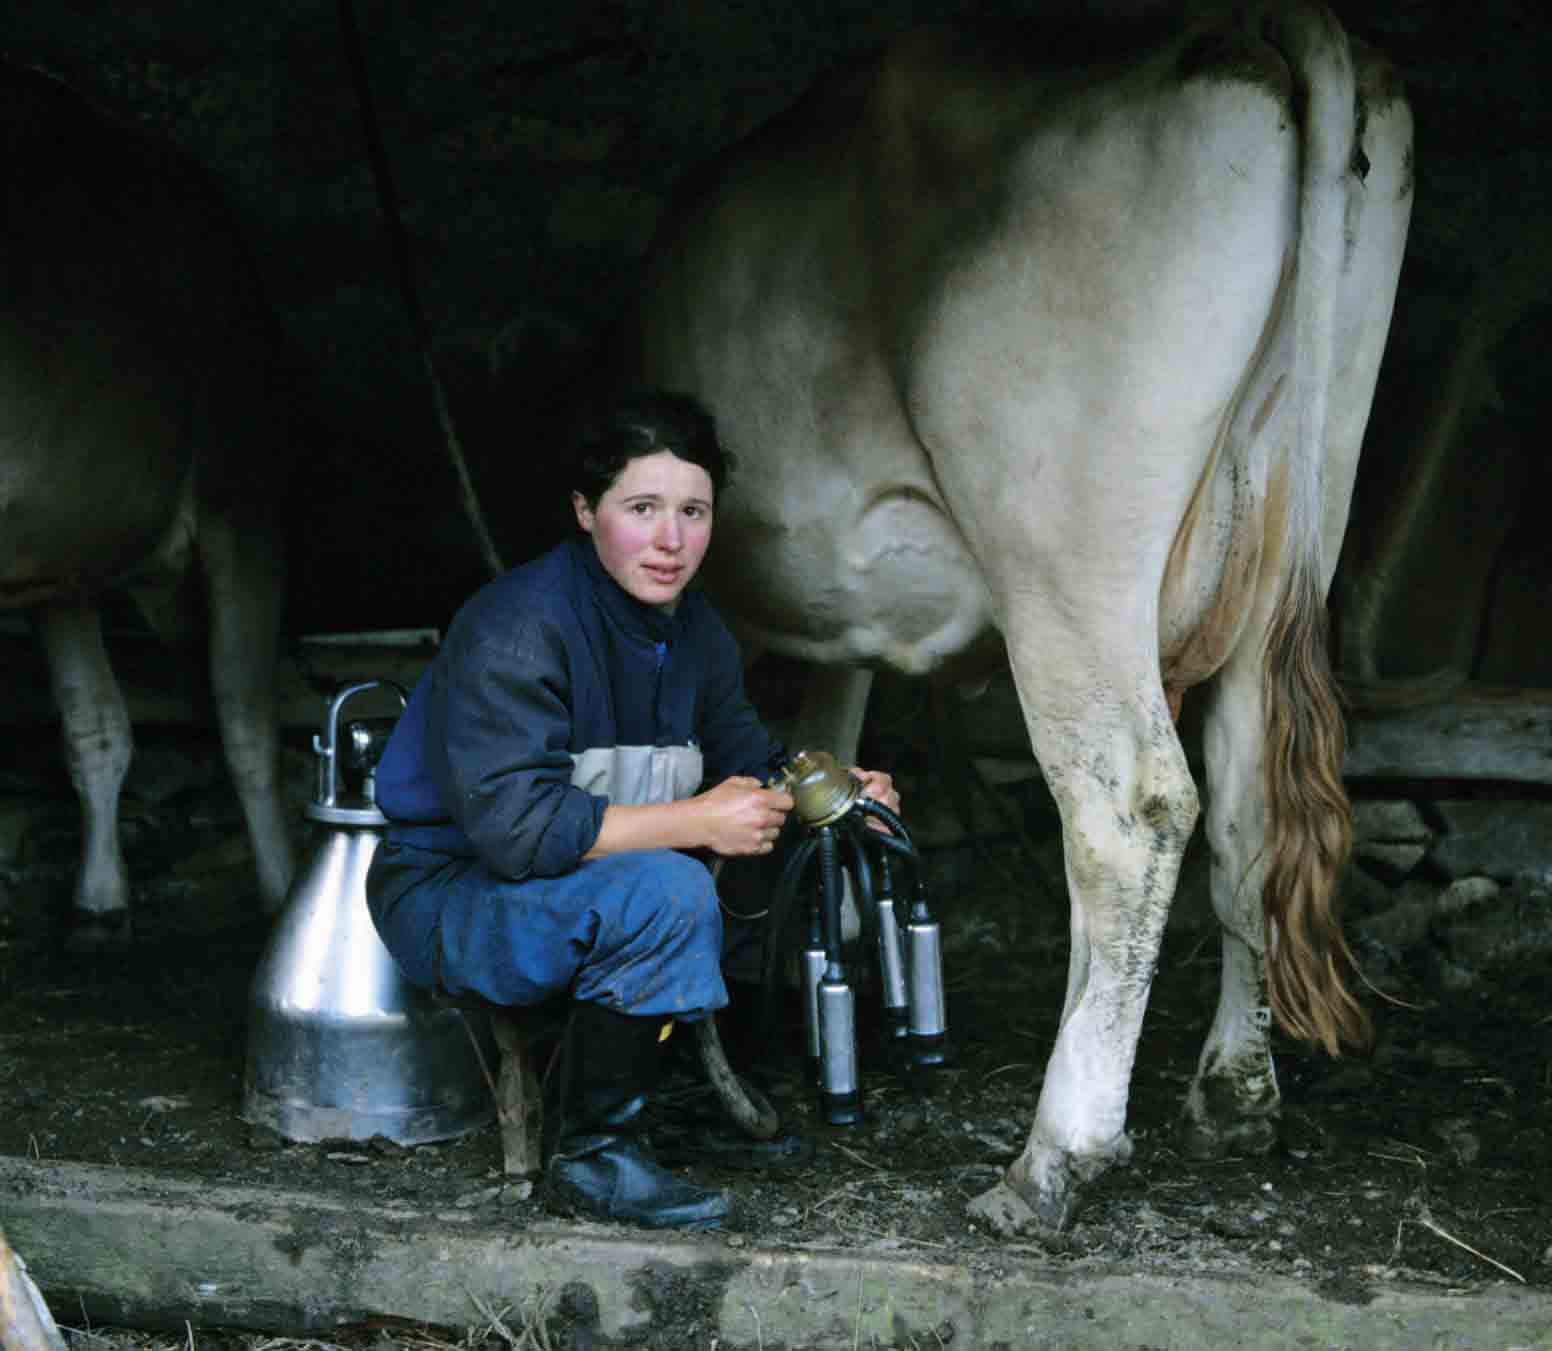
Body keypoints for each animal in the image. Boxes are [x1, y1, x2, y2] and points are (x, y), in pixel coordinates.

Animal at [2, 65, 296, 950]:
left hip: (243, 488)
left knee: (244, 714)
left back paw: (283, 895)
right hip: (65, 543)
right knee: (96, 722)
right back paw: (99, 899)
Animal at [611, 2, 1415, 1236]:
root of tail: (1260, 25)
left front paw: (732, 1076)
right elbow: (824, 754)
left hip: (1066, 555)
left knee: (1127, 814)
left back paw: (1054, 1158)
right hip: (1298, 520)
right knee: (1245, 812)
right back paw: (1232, 1095)